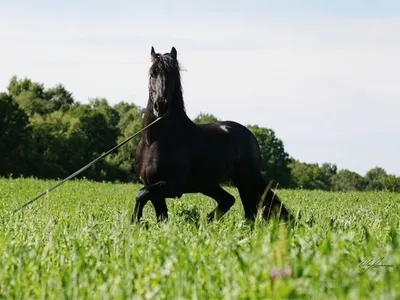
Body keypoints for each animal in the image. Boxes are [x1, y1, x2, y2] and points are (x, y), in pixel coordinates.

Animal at [133, 45, 292, 223]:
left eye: (173, 75)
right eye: (152, 74)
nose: (161, 105)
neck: (154, 140)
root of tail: (249, 135)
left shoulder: (173, 186)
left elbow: (141, 194)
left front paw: (135, 222)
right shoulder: (153, 187)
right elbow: (157, 212)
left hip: (245, 179)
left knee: (248, 210)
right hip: (209, 184)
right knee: (230, 200)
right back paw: (208, 221)